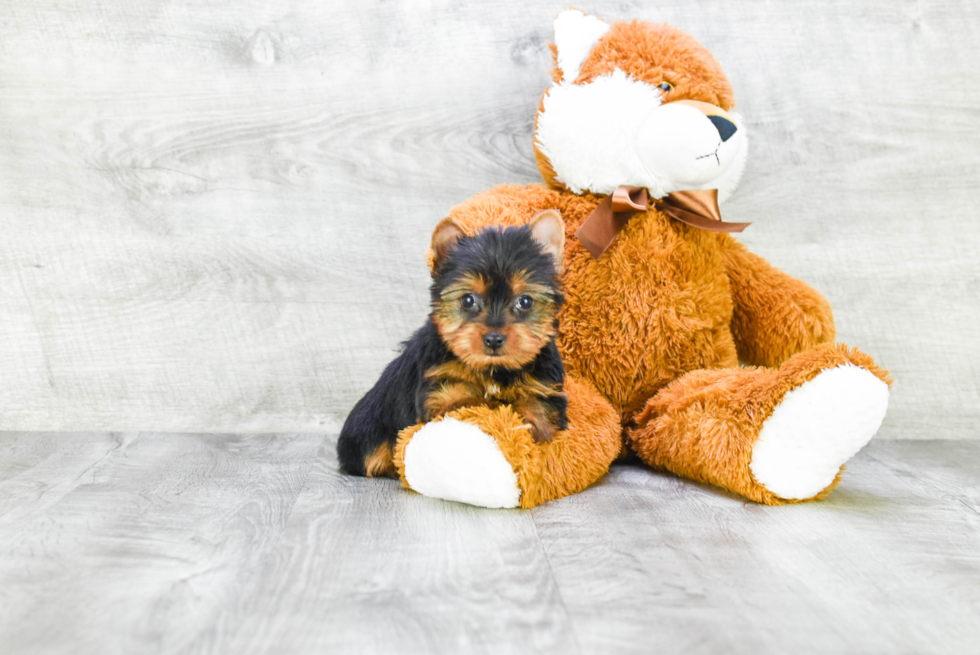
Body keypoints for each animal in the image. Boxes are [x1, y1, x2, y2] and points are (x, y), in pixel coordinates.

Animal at [336, 213, 568, 480]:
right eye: (468, 300)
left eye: (526, 301)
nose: (494, 339)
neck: (494, 370)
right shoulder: (440, 391)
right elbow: (468, 403)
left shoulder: (545, 389)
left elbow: (538, 413)